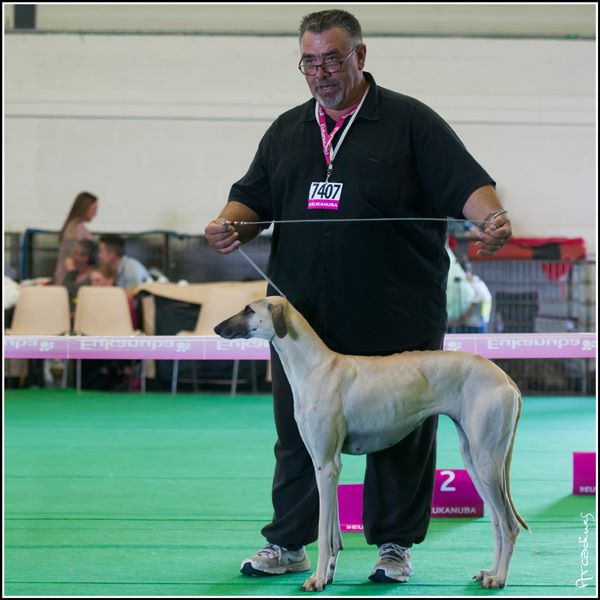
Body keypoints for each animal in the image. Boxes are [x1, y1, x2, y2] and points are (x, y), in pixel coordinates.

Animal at [213, 296, 528, 592]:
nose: (217, 328)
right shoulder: (325, 465)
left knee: (509, 525)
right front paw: (328, 574)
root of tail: (505, 378)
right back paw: (489, 572)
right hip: (475, 461)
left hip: (486, 461)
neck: (315, 366)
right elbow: (334, 534)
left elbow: (324, 533)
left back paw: (499, 578)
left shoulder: (326, 465)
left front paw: (316, 580)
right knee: (497, 522)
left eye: (248, 309)